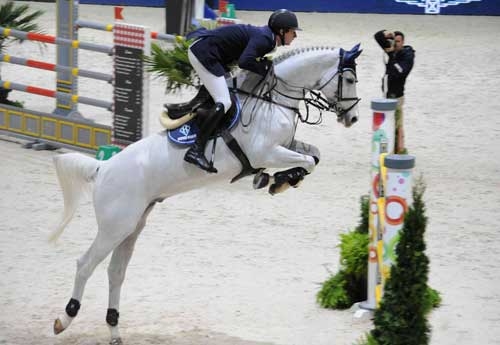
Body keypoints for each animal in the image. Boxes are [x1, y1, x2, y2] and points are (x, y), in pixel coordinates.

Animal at [50, 44, 362, 342]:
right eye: (349, 79)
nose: (354, 118)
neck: (272, 100)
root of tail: (102, 167)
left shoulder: (284, 146)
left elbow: (314, 155)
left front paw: (280, 180)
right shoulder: (267, 152)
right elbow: (308, 160)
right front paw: (281, 179)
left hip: (132, 227)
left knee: (115, 272)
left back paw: (114, 331)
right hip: (114, 227)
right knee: (85, 264)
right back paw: (64, 319)